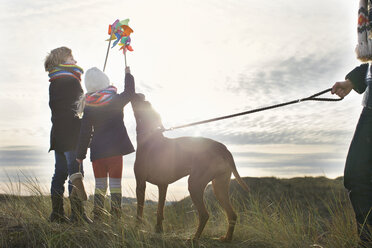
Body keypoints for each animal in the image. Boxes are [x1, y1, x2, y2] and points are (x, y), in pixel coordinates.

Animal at [132, 93, 250, 242]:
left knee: (205, 214)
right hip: (219, 185)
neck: (150, 137)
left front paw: (137, 229)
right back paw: (227, 238)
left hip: (195, 184)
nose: (140, 94)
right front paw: (158, 230)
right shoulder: (163, 185)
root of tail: (224, 149)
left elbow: (139, 211)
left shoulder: (140, 183)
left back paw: (194, 238)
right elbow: (159, 211)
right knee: (232, 214)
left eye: (144, 103)